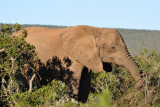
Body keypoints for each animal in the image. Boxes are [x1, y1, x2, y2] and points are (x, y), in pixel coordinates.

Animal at [12, 25, 142, 103]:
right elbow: (74, 81)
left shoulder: (88, 58)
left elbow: (85, 84)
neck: (95, 31)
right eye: (113, 48)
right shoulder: (71, 57)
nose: (135, 87)